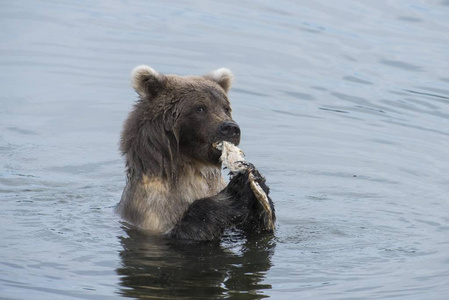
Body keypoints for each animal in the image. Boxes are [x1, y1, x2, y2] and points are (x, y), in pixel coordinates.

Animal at [116, 65, 272, 241]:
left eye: (226, 108)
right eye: (200, 108)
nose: (231, 128)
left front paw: (258, 182)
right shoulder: (152, 211)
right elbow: (190, 229)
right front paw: (236, 191)